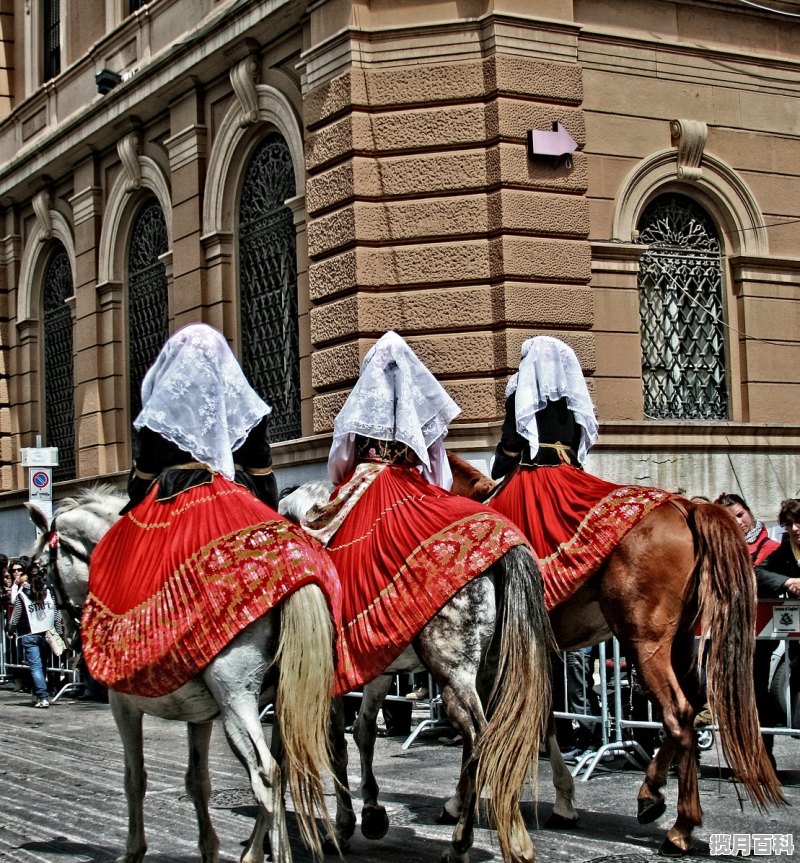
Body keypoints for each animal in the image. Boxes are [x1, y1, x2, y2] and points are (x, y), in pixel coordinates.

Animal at [27, 490, 334, 863]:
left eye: (42, 571)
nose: (70, 637)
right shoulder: (199, 715)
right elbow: (197, 781)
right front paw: (208, 848)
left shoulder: (123, 705)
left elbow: (135, 777)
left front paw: (134, 849)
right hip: (285, 702)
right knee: (285, 772)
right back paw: (252, 851)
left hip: (237, 702)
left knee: (267, 775)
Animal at [278, 486, 552, 863]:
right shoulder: (377, 672)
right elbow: (363, 732)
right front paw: (372, 813)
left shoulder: (333, 679)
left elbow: (336, 744)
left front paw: (344, 826)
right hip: (491, 671)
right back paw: (506, 833)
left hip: (453, 673)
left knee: (481, 738)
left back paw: (463, 843)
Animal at [446, 456, 784, 852]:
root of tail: (686, 507)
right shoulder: (537, 653)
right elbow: (545, 720)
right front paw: (563, 803)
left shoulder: (489, 657)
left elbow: (483, 726)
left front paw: (459, 801)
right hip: (682, 640)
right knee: (693, 707)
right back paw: (652, 795)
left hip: (645, 641)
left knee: (676, 711)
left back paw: (679, 828)